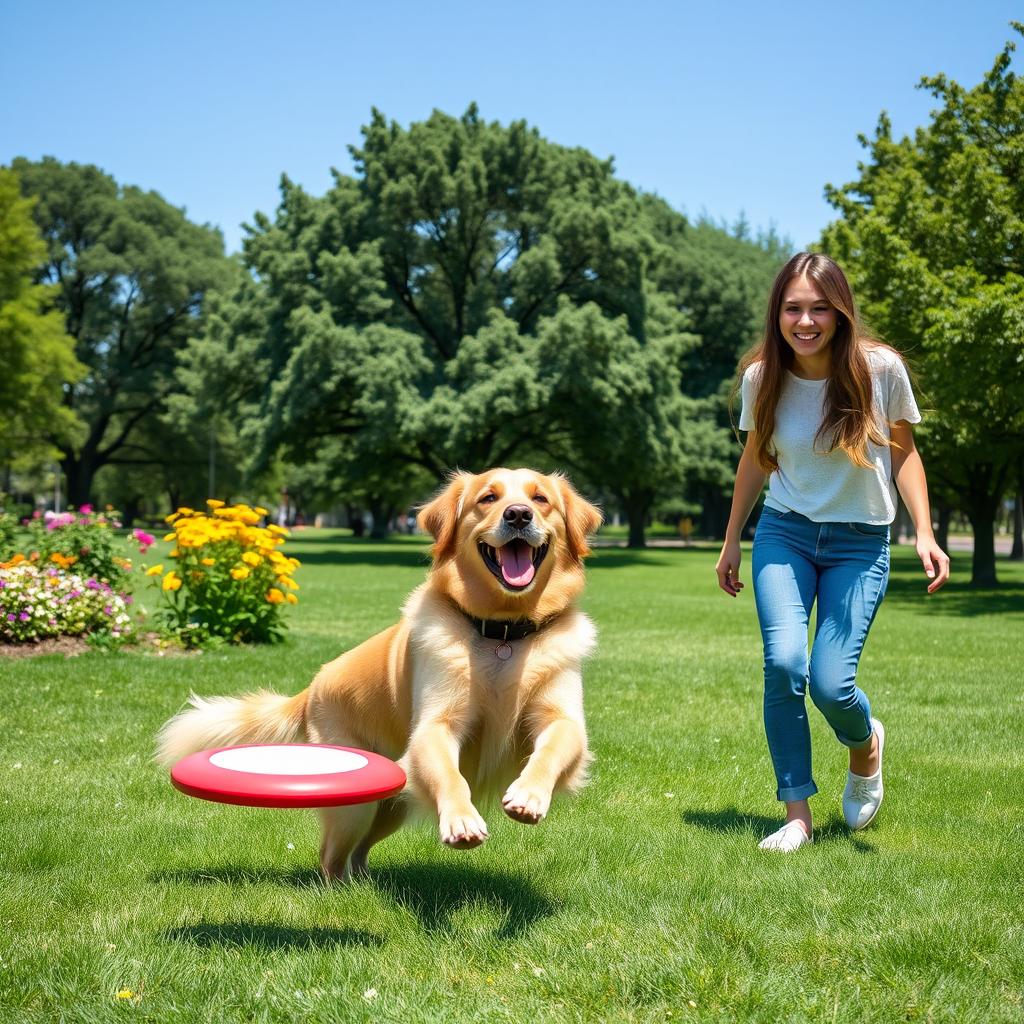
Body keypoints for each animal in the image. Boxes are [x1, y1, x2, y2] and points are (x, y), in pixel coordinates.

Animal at [156, 468, 602, 880]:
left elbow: (552, 747)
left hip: (389, 805)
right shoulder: (434, 727)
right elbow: (451, 775)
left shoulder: (563, 719)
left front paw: (528, 795)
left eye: (540, 499)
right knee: (331, 857)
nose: (518, 514)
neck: (502, 632)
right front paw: (461, 819)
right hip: (357, 803)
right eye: (488, 498)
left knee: (359, 851)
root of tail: (310, 689)